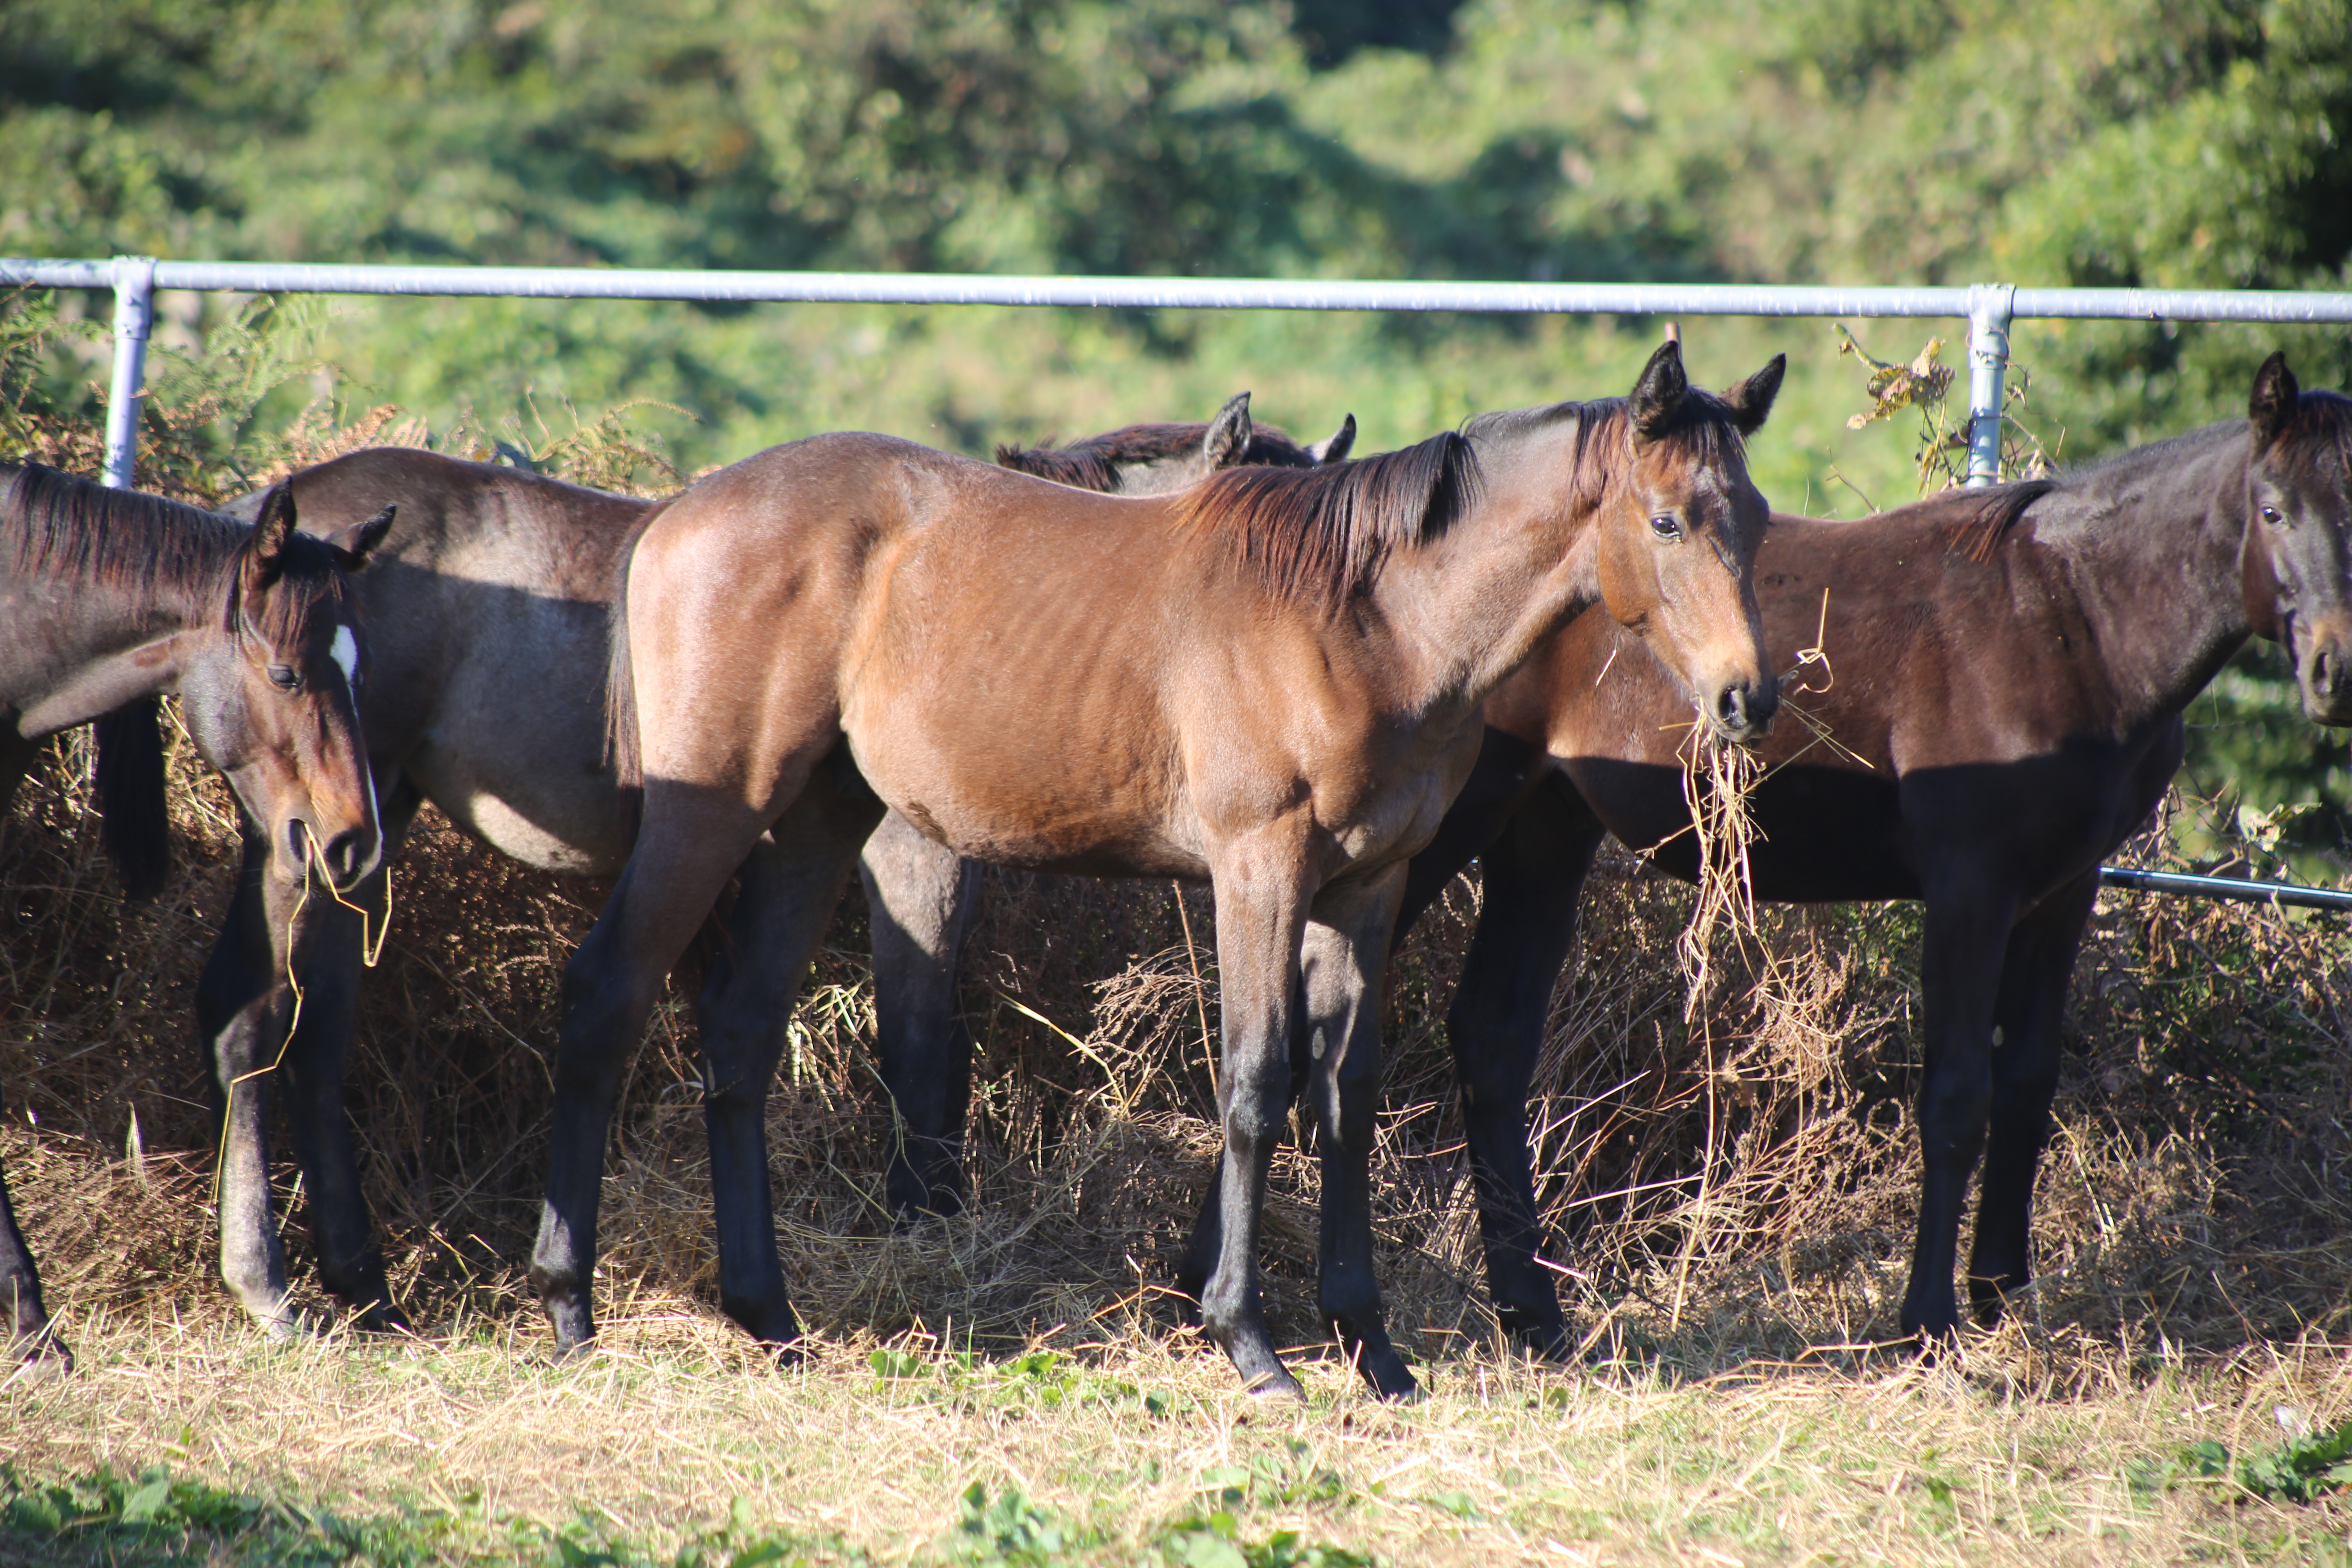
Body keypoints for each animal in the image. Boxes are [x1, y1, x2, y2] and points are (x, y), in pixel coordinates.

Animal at [96, 399, 1345, 1345]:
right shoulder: (914, 864)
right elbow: (921, 1042)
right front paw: (924, 1220)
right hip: (321, 840)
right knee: (270, 1021)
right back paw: (307, 1283)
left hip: (359, 832)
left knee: (303, 1026)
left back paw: (362, 1285)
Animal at [534, 343, 1778, 1401]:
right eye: (1666, 519)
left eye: (1756, 518)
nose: (1747, 697)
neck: (1363, 619)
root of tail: (676, 513)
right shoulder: (1257, 869)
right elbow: (1257, 1082)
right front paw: (1249, 1343)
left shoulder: (1366, 890)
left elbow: (1346, 1093)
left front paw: (1370, 1346)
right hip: (714, 809)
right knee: (609, 995)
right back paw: (570, 1309)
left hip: (818, 823)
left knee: (740, 1030)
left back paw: (769, 1316)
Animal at [1373, 352, 2352, 1354]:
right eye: (2272, 510)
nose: (2335, 672)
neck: (2067, 619)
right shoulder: (1971, 891)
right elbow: (1957, 1098)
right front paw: (1928, 1322)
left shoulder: (2062, 890)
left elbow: (2028, 1081)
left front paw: (2001, 1291)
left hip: (1542, 830)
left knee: (1491, 1038)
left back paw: (1531, 1313)